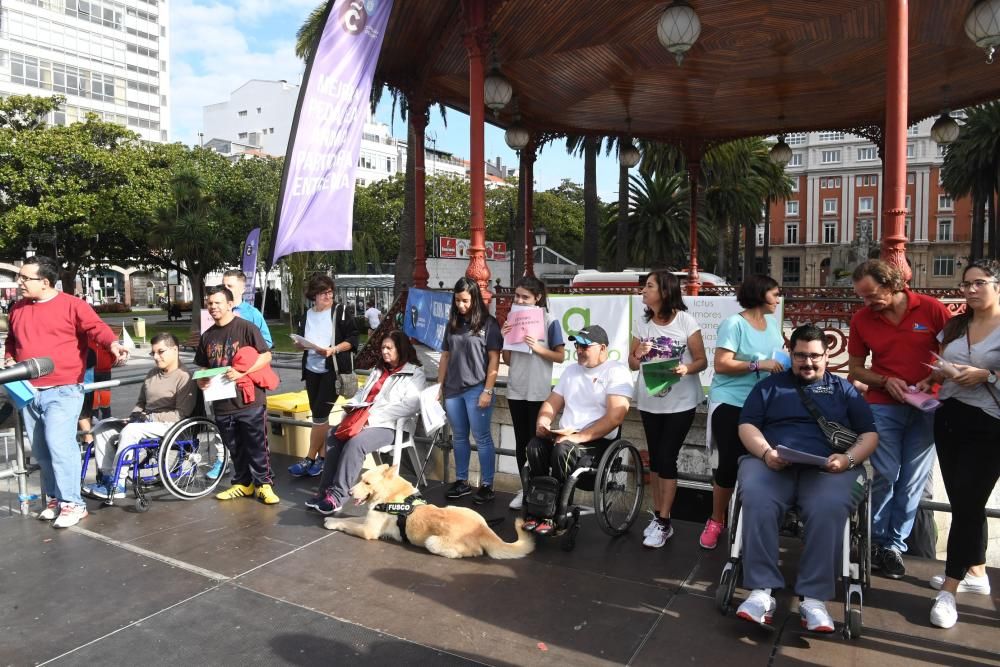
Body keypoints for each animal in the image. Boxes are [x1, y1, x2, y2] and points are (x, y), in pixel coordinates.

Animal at [326, 464, 532, 560]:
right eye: (361, 479)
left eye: (367, 483)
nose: (349, 493)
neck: (390, 493)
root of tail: (482, 528)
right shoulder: (368, 520)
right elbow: (353, 518)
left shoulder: (368, 531)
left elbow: (347, 523)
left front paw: (331, 522)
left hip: (431, 542)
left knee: (475, 551)